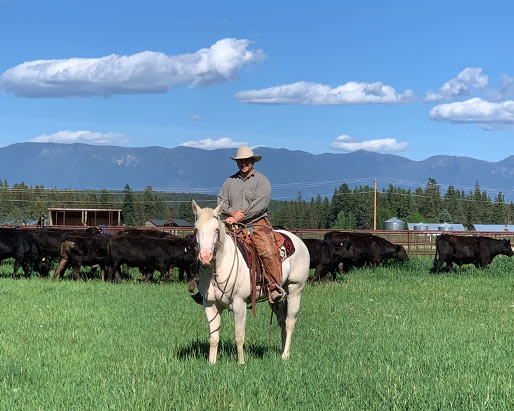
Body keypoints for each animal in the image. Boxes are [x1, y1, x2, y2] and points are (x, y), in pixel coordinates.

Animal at [191, 201, 308, 366]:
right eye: (196, 229)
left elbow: (239, 336)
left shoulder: (239, 304)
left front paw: (241, 363)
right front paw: (211, 363)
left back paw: (285, 355)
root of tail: (299, 241)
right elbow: (213, 337)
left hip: (295, 289)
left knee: (290, 322)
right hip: (276, 297)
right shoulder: (210, 304)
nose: (205, 257)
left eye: (216, 229)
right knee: (282, 322)